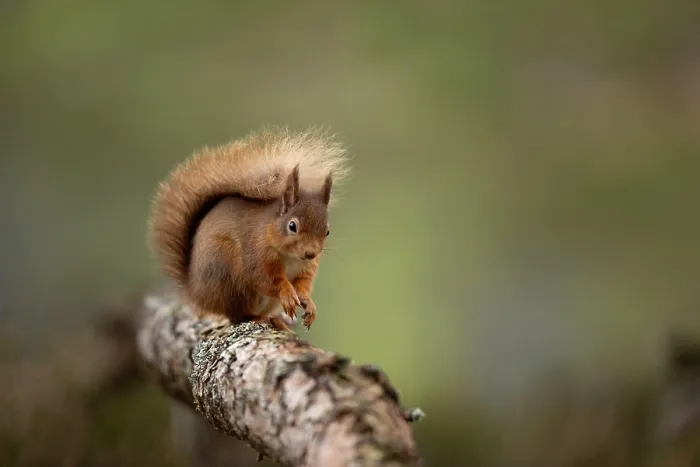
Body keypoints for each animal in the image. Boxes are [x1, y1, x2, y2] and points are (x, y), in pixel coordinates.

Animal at [147, 127, 350, 332]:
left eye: (327, 231)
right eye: (292, 226)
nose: (311, 253)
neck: (290, 256)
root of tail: (197, 293)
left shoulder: (306, 268)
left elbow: (303, 284)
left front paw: (308, 303)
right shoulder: (257, 252)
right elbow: (267, 280)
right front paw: (287, 293)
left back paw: (275, 320)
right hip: (230, 275)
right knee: (238, 316)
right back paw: (260, 318)